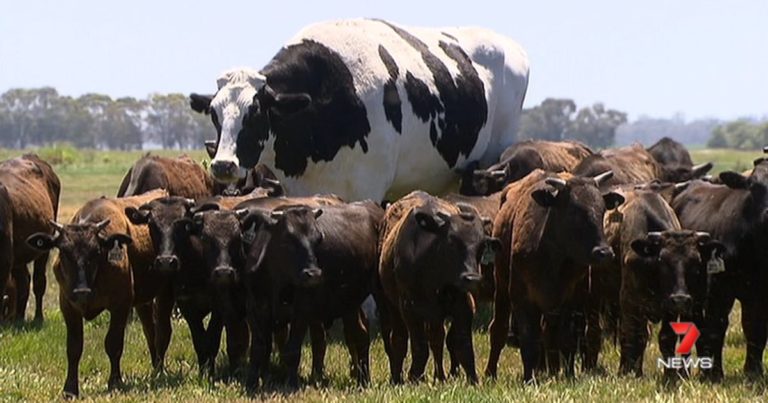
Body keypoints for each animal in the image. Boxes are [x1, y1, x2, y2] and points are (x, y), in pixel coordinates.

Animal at [0, 154, 61, 323]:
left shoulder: (5, 258)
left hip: (43, 247)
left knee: (38, 282)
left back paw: (37, 318)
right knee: (24, 281)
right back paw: (19, 317)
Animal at [26, 189, 169, 398]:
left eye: (96, 251)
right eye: (64, 251)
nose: (81, 291)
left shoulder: (120, 306)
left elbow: (113, 343)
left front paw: (115, 381)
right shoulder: (68, 307)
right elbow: (74, 347)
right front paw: (70, 389)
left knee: (161, 330)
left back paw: (160, 369)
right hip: (143, 301)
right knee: (150, 329)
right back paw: (156, 366)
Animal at [377, 191, 499, 384]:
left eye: (481, 247)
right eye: (451, 242)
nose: (471, 278)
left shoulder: (463, 305)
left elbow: (462, 344)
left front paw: (473, 379)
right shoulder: (409, 308)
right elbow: (419, 346)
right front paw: (414, 376)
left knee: (437, 338)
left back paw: (439, 376)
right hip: (392, 306)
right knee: (399, 339)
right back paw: (398, 377)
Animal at [485, 169, 624, 382]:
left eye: (602, 211)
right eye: (574, 212)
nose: (604, 252)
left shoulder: (571, 300)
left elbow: (566, 339)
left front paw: (568, 375)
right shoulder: (521, 298)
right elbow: (529, 339)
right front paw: (529, 378)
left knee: (549, 333)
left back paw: (550, 370)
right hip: (501, 285)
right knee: (498, 329)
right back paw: (491, 373)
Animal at [672, 163, 768, 380]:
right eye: (753, 186)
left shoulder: (759, 294)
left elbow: (756, 329)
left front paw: (753, 371)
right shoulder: (719, 289)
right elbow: (718, 326)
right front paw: (715, 374)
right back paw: (687, 369)